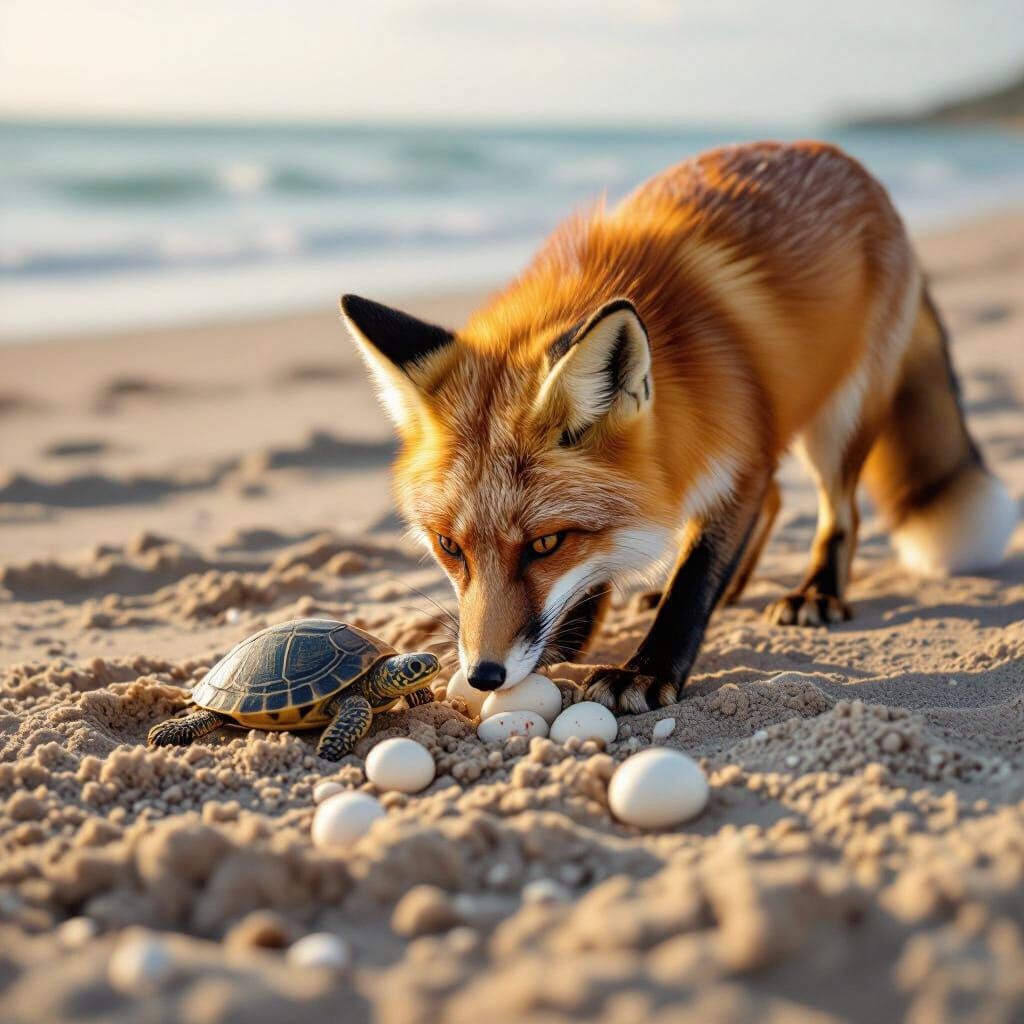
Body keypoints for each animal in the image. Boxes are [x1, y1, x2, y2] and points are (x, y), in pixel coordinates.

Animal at [340, 140, 1016, 713]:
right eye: (449, 547)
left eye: (546, 544)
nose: (484, 675)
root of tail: (849, 162)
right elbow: (606, 572)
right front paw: (575, 638)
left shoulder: (739, 457)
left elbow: (694, 581)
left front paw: (646, 670)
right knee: (777, 500)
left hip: (837, 421)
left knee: (839, 514)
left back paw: (818, 592)